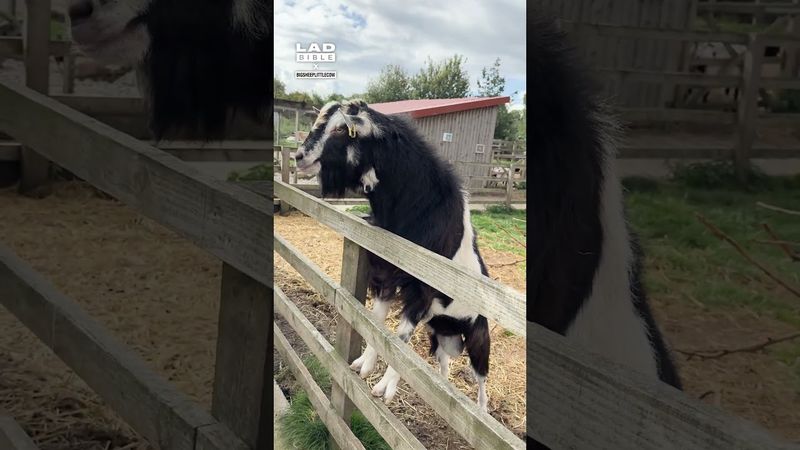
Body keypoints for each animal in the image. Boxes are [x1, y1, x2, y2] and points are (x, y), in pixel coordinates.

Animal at [294, 99, 493, 412]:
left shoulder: (423, 291)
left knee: (482, 375)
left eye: (340, 129)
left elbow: (401, 338)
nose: (299, 156)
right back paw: (445, 390)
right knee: (444, 361)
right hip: (441, 333)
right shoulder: (386, 274)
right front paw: (363, 365)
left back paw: (481, 410)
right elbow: (377, 323)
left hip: (478, 336)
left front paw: (383, 388)